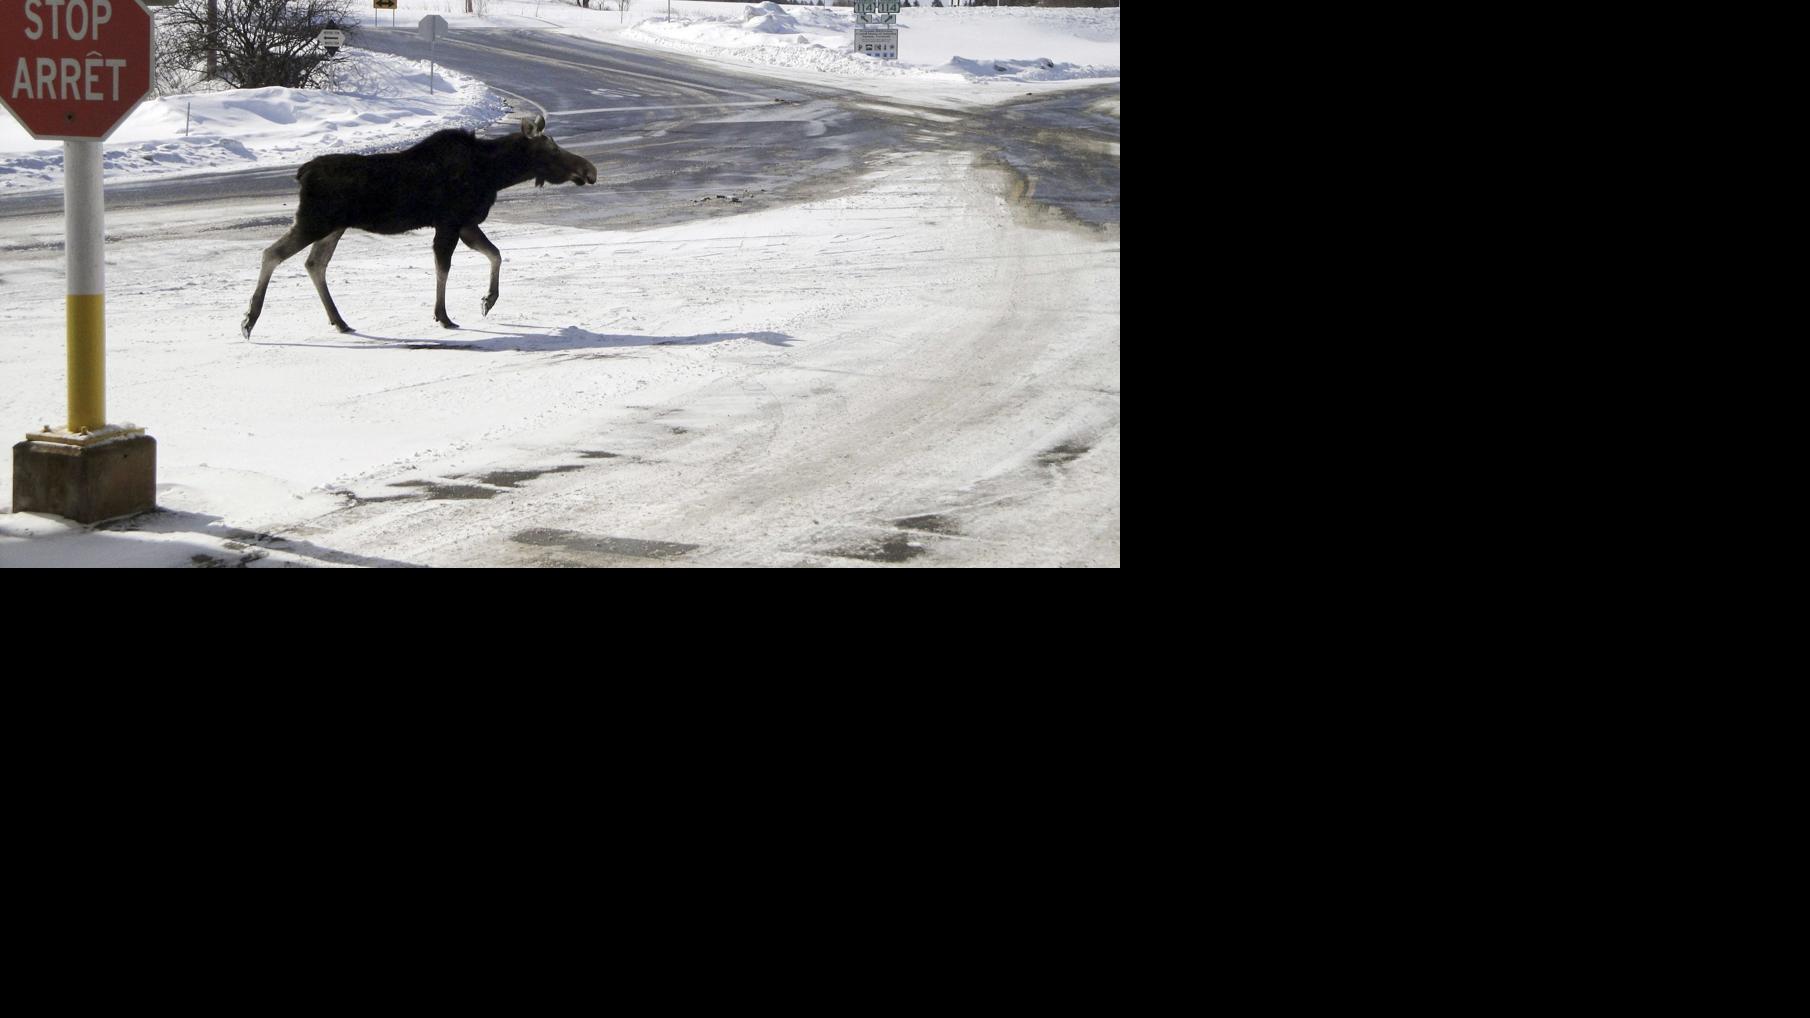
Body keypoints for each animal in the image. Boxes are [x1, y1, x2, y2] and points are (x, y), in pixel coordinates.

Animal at [241, 115, 597, 338]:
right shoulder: (452, 221)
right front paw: (444, 316)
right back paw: (249, 319)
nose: (589, 170)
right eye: (553, 149)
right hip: (315, 221)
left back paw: (339, 321)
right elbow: (444, 268)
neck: (495, 173)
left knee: (315, 264)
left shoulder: (466, 223)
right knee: (272, 253)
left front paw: (488, 300)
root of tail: (301, 173)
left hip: (333, 227)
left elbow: (495, 254)